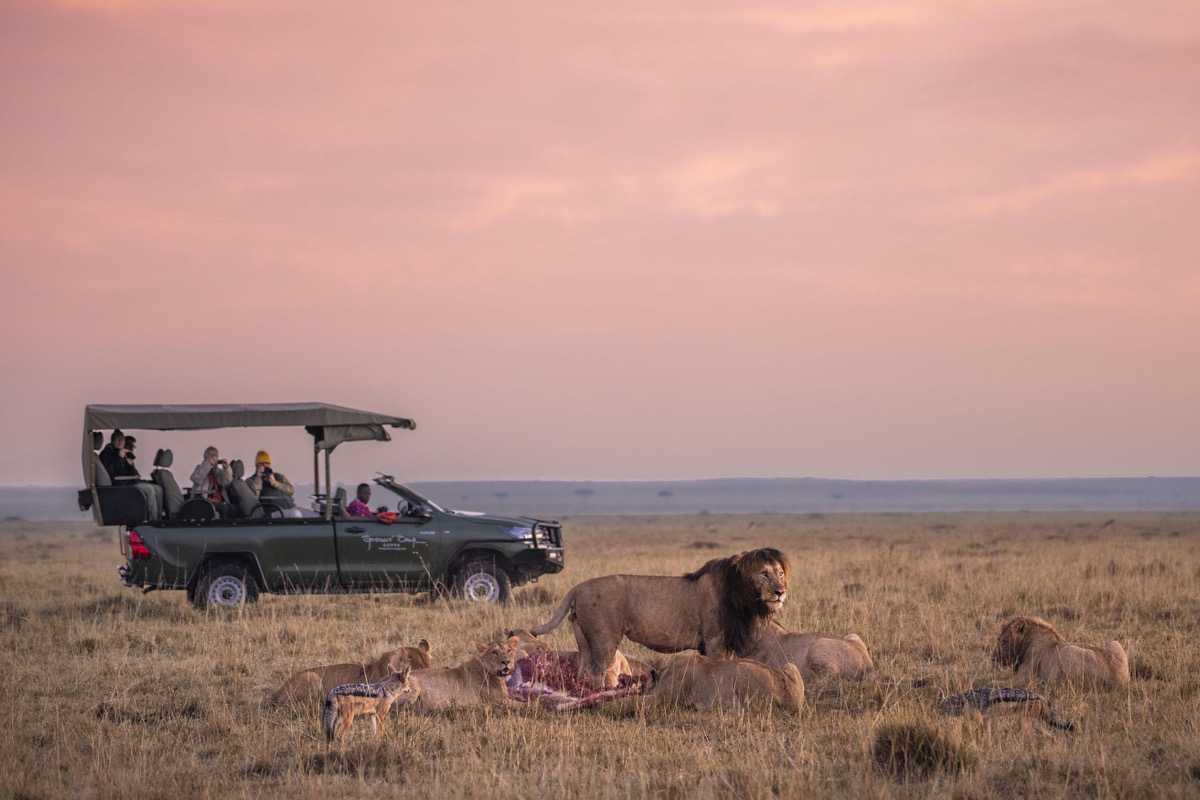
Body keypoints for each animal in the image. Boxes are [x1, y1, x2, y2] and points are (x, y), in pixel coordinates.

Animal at [530, 546, 792, 686]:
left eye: (780, 573)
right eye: (764, 574)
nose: (781, 592)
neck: (744, 598)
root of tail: (578, 587)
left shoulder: (723, 643)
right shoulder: (715, 640)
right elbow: (718, 670)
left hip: (583, 638)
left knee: (583, 669)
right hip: (603, 638)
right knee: (596, 672)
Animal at [988, 618, 1128, 690]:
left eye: (1005, 642)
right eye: (998, 640)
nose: (992, 659)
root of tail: (1118, 682)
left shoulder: (1026, 676)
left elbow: (1003, 683)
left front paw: (994, 683)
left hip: (1066, 650)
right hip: (1114, 643)